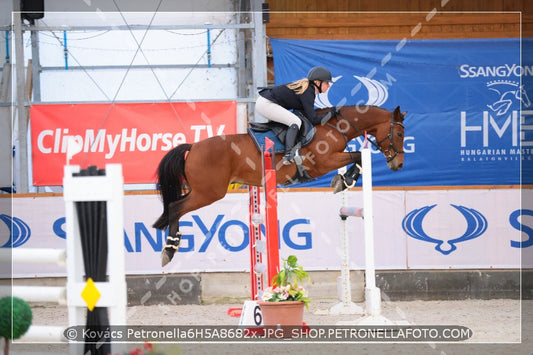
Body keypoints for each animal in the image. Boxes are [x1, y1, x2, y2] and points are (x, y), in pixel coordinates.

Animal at [152, 104, 406, 266]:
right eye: (400, 134)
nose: (399, 164)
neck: (335, 126)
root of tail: (193, 146)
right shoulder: (325, 161)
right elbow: (359, 155)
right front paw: (344, 180)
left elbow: (357, 156)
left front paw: (344, 180)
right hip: (209, 193)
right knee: (175, 207)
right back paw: (169, 250)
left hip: (204, 191)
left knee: (174, 207)